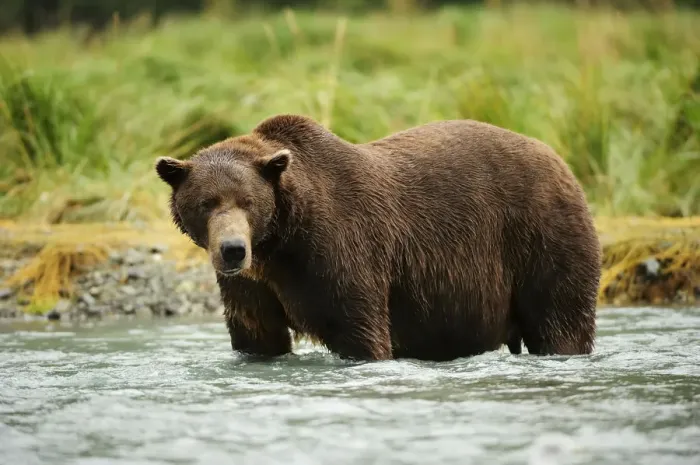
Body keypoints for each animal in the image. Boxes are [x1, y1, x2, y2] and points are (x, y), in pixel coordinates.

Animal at [155, 114, 601, 362]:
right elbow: (257, 334)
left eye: (247, 201)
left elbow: (359, 328)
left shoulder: (340, 248)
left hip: (543, 236)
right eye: (206, 203)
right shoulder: (253, 285)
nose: (232, 250)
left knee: (560, 320)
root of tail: (562, 162)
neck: (280, 243)